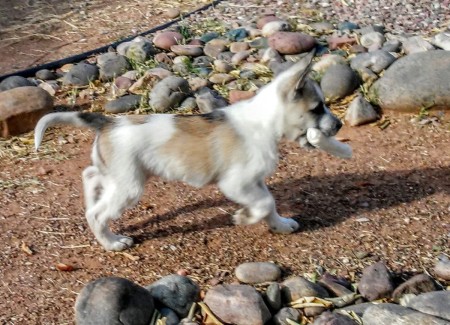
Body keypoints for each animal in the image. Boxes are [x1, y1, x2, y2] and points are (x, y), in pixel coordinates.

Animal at [35, 51, 348, 251]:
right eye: (317, 108)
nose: (339, 125)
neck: (263, 121)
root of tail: (108, 121)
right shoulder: (237, 183)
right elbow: (263, 204)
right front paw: (243, 218)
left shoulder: (255, 182)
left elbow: (269, 203)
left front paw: (280, 225)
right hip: (128, 186)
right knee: (97, 215)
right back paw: (113, 243)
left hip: (115, 174)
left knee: (89, 177)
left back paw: (92, 203)